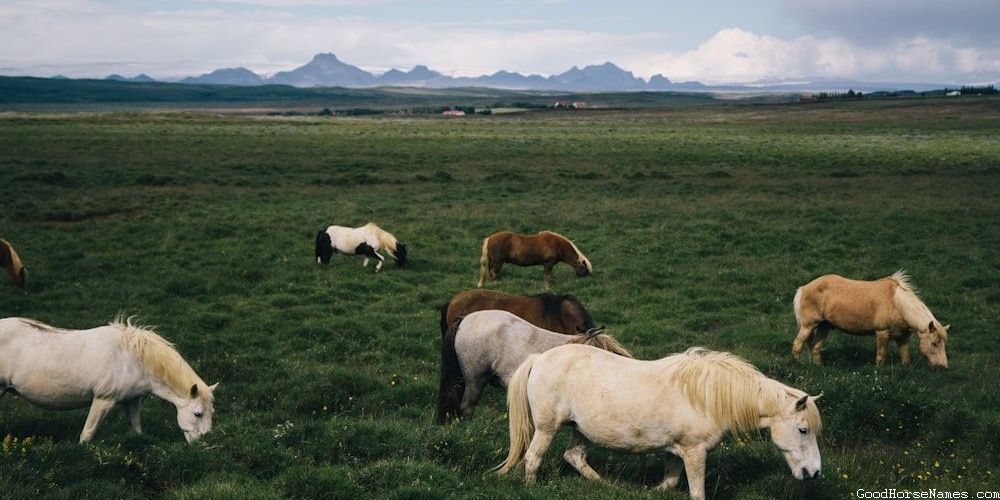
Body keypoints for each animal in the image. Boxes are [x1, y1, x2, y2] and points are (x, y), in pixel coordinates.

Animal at [0, 316, 218, 443]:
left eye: (212, 413)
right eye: (198, 414)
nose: (205, 442)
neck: (132, 358)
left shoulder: (133, 401)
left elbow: (136, 429)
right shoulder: (103, 400)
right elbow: (87, 434)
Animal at [496, 346, 823, 500]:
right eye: (803, 430)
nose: (815, 473)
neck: (706, 396)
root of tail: (539, 359)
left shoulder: (676, 451)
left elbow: (669, 482)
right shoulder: (694, 452)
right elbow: (696, 491)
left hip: (581, 430)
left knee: (573, 456)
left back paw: (608, 486)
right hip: (546, 428)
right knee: (533, 458)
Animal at [792, 270, 949, 368]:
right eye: (934, 343)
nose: (943, 366)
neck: (897, 303)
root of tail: (804, 288)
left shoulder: (903, 337)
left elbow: (906, 358)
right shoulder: (882, 333)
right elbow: (881, 355)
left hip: (824, 326)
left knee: (815, 347)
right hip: (808, 326)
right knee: (797, 345)